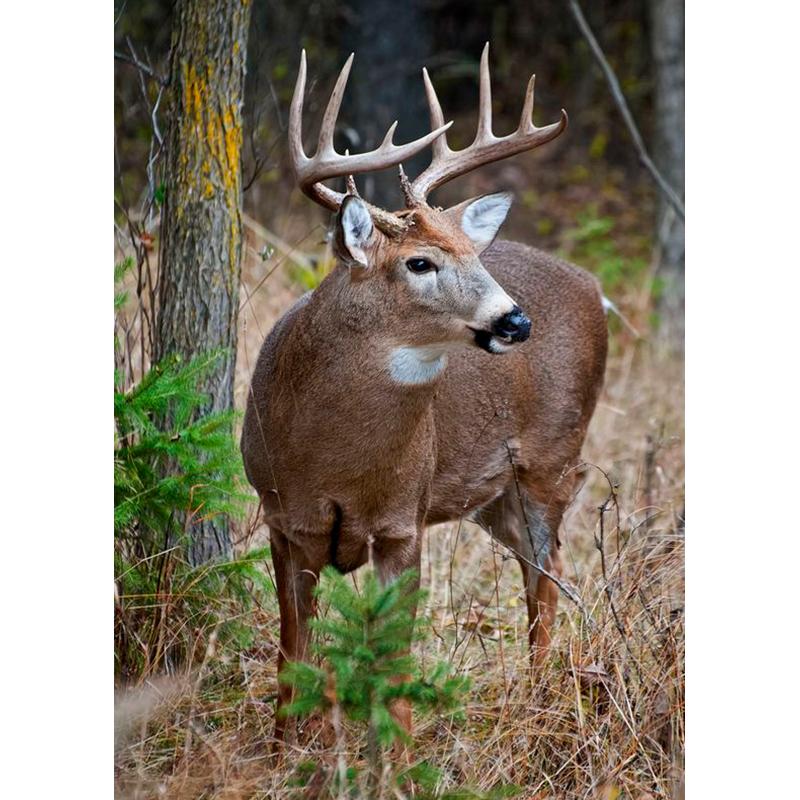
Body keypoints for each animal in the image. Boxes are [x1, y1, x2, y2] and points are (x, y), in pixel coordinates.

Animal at [241, 44, 608, 741]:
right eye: (419, 261)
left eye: (473, 253)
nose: (515, 321)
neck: (333, 458)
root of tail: (595, 288)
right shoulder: (282, 518)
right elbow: (290, 656)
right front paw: (281, 747)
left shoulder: (401, 522)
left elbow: (395, 666)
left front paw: (400, 754)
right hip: (493, 494)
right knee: (540, 567)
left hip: (552, 457)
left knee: (546, 576)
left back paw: (540, 697)